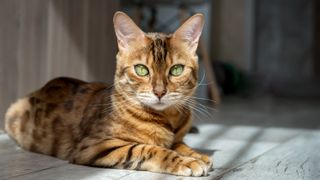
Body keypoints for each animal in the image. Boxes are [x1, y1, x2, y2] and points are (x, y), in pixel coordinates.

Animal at [4, 11, 212, 177]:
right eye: (141, 70)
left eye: (176, 70)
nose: (159, 92)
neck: (168, 119)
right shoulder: (96, 146)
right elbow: (149, 149)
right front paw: (187, 161)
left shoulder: (177, 138)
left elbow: (181, 145)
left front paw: (198, 155)